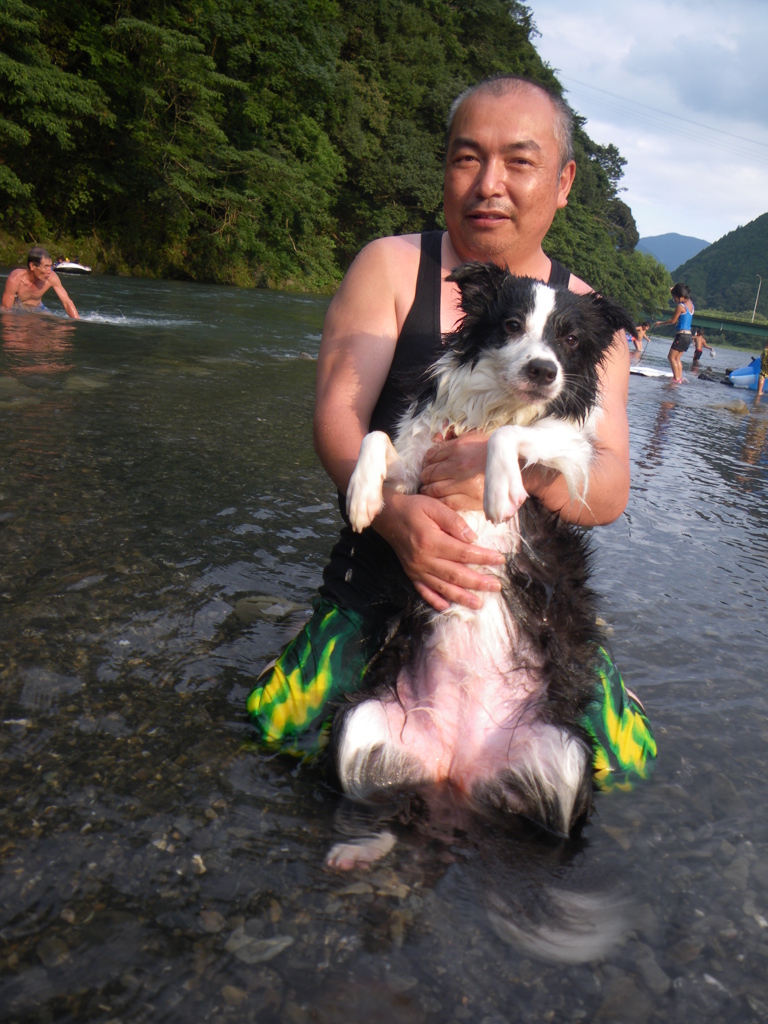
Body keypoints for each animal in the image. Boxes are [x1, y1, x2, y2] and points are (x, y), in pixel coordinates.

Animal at [327, 262, 634, 864]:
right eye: (511, 324)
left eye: (570, 339)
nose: (543, 370)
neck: (494, 406)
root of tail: (457, 764)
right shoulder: (415, 468)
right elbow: (377, 435)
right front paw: (363, 496)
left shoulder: (572, 449)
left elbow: (517, 436)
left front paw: (497, 486)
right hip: (356, 725)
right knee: (380, 803)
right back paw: (361, 848)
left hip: (568, 759)